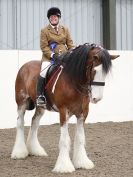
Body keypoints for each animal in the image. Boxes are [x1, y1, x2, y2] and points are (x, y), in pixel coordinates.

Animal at [11, 43, 119, 173]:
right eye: (94, 71)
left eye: (105, 73)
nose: (96, 98)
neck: (74, 82)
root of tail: (25, 66)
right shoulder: (63, 112)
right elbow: (64, 139)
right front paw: (64, 166)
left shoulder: (83, 113)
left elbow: (80, 138)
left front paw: (82, 162)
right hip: (21, 103)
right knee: (20, 123)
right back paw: (19, 152)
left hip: (41, 107)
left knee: (34, 122)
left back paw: (35, 150)